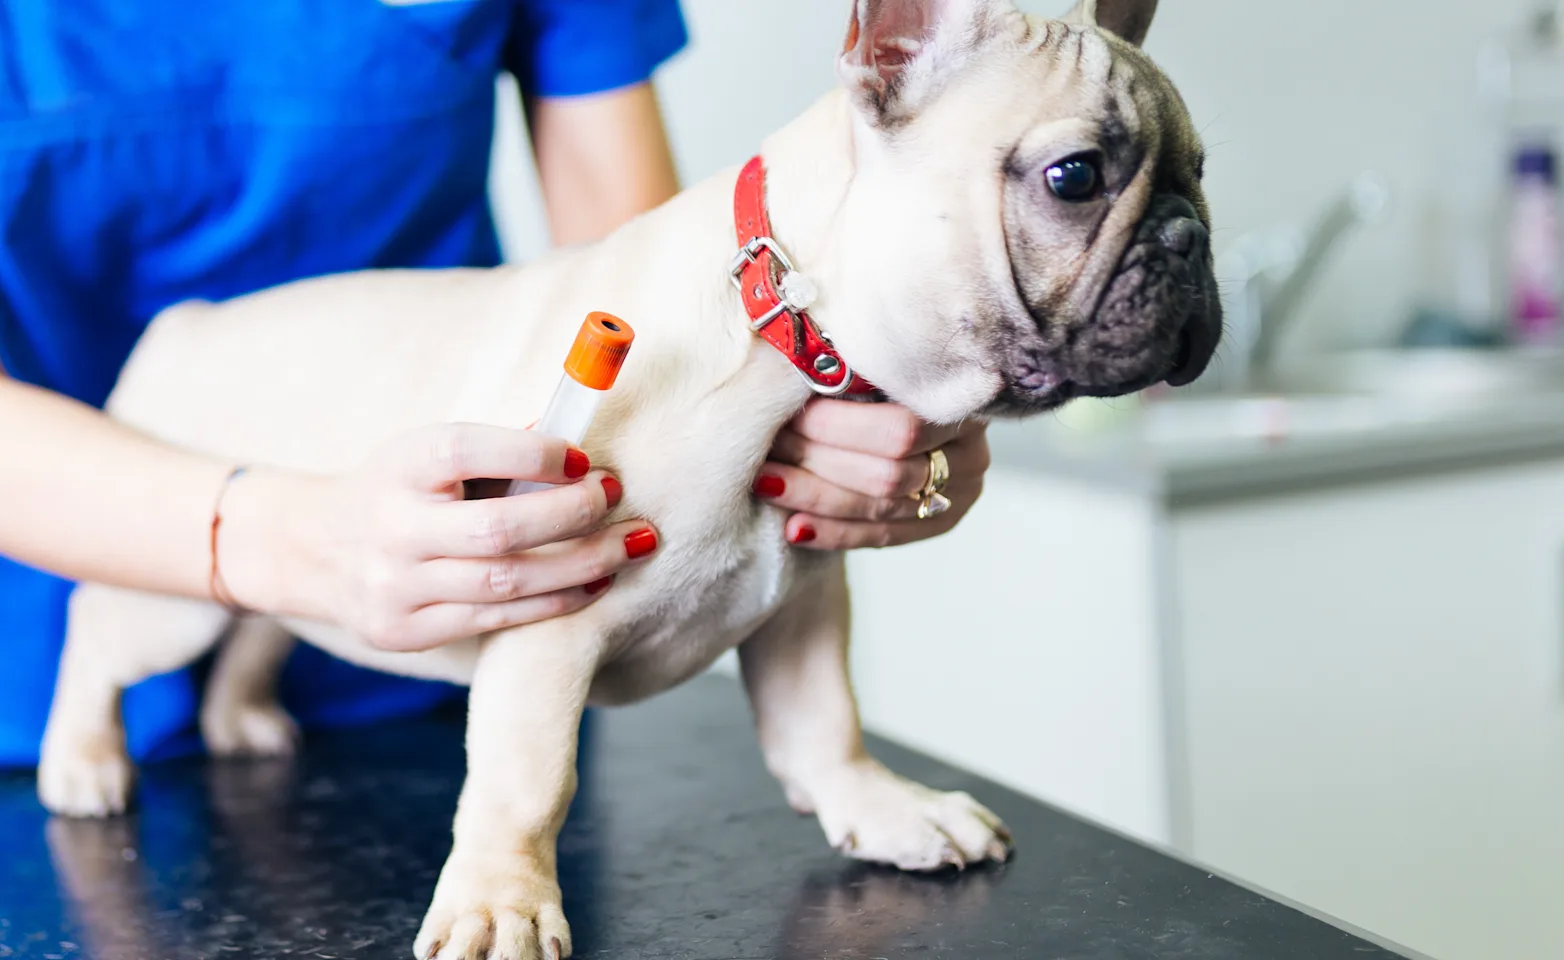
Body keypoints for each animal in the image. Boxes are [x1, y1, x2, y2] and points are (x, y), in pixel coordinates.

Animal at [33, 1, 1207, 960]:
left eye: (1203, 169)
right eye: (1074, 177)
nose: (1191, 241)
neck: (782, 328)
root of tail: (190, 323)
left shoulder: (805, 597)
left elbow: (825, 720)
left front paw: (885, 809)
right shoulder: (545, 619)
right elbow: (527, 781)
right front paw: (500, 906)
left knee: (261, 625)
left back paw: (241, 722)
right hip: (172, 603)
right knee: (102, 639)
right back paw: (82, 764)